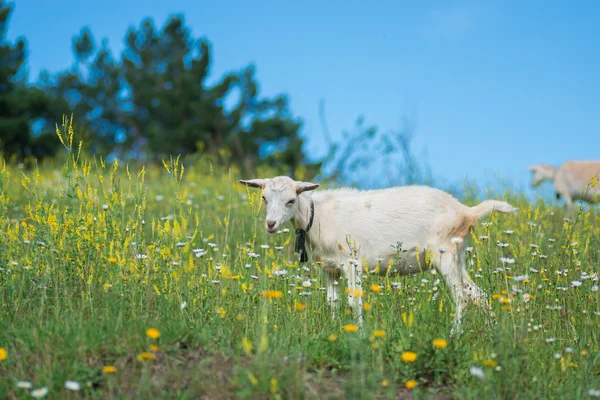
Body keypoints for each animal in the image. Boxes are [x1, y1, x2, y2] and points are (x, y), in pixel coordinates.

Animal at [239, 177, 516, 328]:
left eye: (291, 200)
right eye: (264, 198)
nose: (271, 224)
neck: (316, 216)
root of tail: (466, 212)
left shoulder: (352, 262)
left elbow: (355, 301)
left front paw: (359, 333)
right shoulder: (330, 268)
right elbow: (332, 301)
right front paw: (334, 329)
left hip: (445, 254)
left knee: (462, 297)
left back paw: (454, 335)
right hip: (458, 256)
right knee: (478, 294)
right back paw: (491, 332)